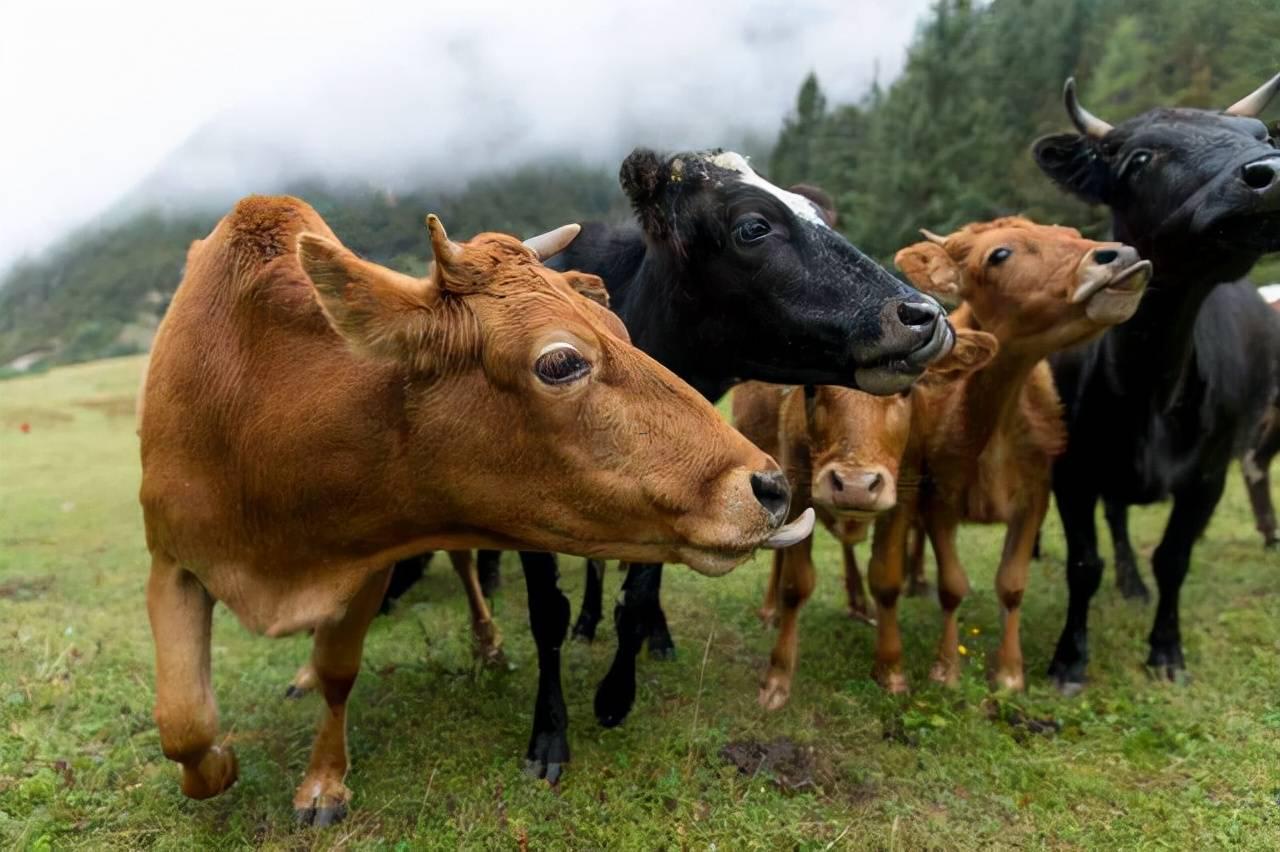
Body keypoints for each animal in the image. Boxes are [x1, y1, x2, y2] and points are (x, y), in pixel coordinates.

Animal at [137, 194, 808, 823]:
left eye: (620, 329)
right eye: (560, 361)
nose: (769, 486)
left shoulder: (372, 563)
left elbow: (336, 671)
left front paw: (320, 784)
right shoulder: (169, 561)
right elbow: (183, 721)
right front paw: (227, 760)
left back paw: (487, 643)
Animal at [737, 327, 993, 706]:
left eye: (906, 388)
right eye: (810, 387)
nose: (855, 486)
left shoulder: (904, 492)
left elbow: (886, 580)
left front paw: (891, 669)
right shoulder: (795, 484)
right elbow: (795, 583)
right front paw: (777, 677)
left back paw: (858, 602)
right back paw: (772, 611)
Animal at [870, 217, 1152, 690]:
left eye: (1072, 233)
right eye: (999, 254)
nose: (1120, 255)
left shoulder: (1035, 496)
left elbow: (1012, 584)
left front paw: (1008, 672)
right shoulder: (938, 498)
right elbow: (953, 586)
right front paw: (946, 668)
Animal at [1029, 69, 1280, 685]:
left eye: (1263, 134)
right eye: (1139, 158)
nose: (1270, 173)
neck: (1148, 389)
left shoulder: (1208, 477)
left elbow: (1174, 559)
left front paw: (1166, 650)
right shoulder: (1073, 470)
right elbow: (1083, 563)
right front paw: (1069, 658)